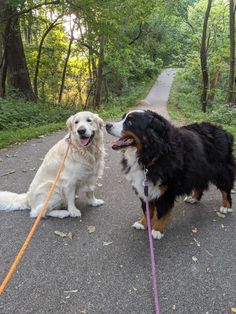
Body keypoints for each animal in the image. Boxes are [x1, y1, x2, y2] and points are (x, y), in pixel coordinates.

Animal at [106, 109, 235, 239]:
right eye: (123, 118)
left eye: (130, 122)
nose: (107, 125)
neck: (153, 155)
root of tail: (225, 132)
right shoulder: (145, 187)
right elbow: (147, 210)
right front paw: (143, 223)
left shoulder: (166, 189)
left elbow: (161, 212)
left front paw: (157, 229)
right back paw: (193, 198)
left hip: (220, 171)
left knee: (225, 189)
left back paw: (226, 206)